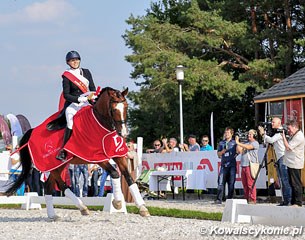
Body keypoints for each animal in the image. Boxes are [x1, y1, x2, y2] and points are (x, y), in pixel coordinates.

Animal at [5, 86, 150, 219]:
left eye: (126, 107)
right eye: (114, 109)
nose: (123, 133)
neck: (101, 125)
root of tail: (32, 131)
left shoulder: (118, 155)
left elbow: (129, 178)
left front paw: (142, 208)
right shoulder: (97, 158)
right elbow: (115, 173)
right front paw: (118, 202)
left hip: (58, 165)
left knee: (48, 186)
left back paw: (53, 215)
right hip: (51, 165)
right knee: (62, 186)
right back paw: (82, 207)